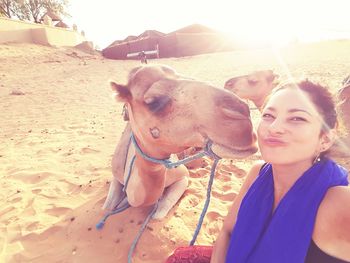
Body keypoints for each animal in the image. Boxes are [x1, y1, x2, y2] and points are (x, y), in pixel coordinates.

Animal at [102, 65, 258, 220]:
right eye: (154, 102)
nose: (242, 113)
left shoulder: (183, 177)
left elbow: (158, 215)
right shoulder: (117, 174)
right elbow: (107, 207)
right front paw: (122, 201)